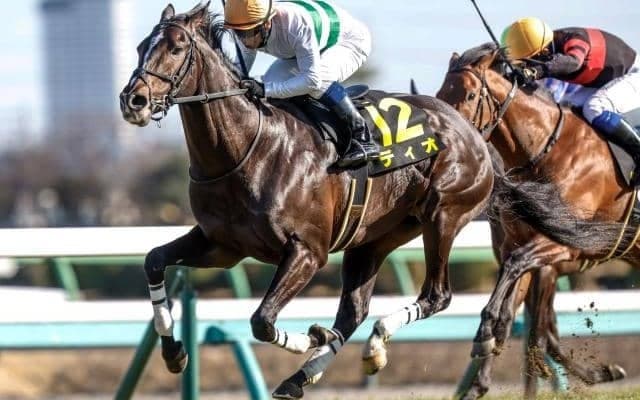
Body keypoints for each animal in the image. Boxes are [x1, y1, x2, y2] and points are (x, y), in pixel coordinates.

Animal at [118, 3, 494, 398]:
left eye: (176, 48)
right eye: (142, 47)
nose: (133, 101)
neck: (247, 148)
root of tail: (466, 125)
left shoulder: (308, 251)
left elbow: (262, 320)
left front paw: (312, 335)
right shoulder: (221, 245)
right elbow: (154, 260)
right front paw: (173, 351)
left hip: (443, 215)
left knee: (437, 295)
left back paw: (370, 340)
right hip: (374, 238)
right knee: (353, 312)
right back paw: (315, 371)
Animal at [436, 43, 636, 398]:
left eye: (471, 95)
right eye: (439, 94)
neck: (546, 150)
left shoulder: (563, 247)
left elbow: (531, 321)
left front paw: (486, 335)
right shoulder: (524, 246)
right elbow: (515, 311)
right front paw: (479, 379)